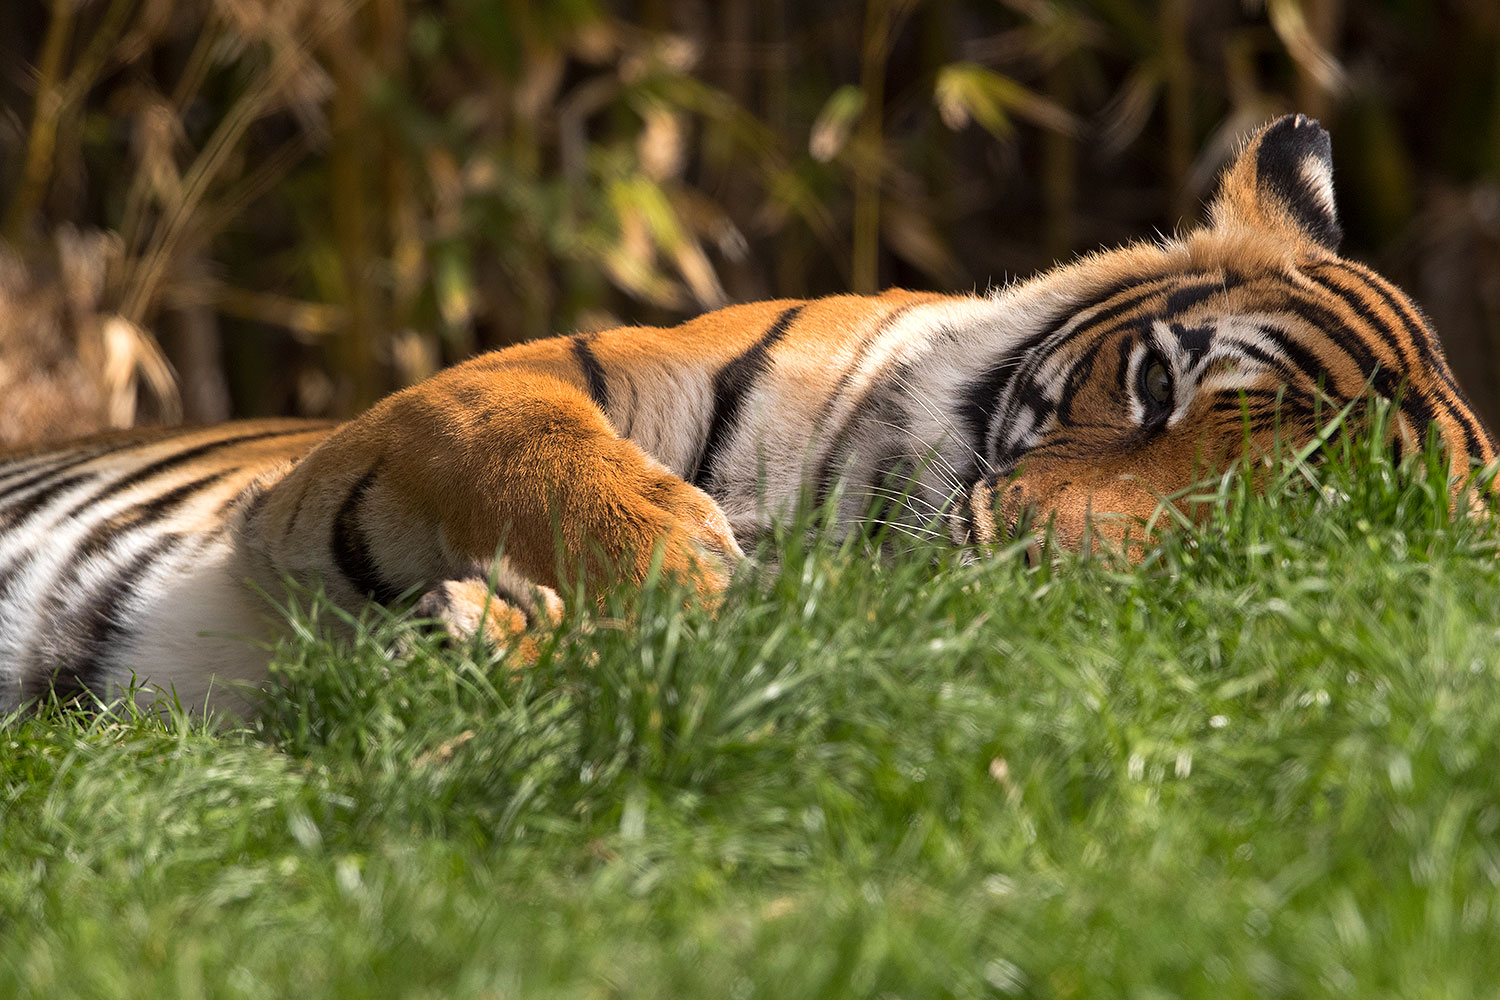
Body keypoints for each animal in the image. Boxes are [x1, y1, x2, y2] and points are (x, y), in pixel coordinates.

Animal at [1, 114, 1494, 716]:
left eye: (1248, 545)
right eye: (1154, 385)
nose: (1021, 549)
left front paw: (501, 641)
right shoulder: (441, 413)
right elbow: (519, 435)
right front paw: (681, 578)